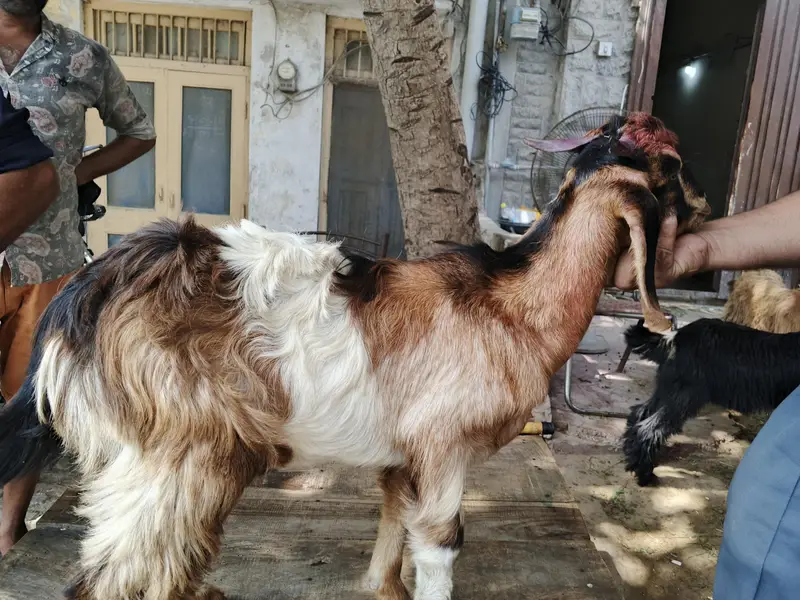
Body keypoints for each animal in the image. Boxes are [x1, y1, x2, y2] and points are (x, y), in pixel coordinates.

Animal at [0, 113, 708, 600]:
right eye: (673, 164)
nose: (704, 204)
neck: (512, 304)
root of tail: (79, 302)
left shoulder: (403, 460)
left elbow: (393, 532)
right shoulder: (443, 446)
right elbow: (442, 542)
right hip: (175, 452)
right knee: (109, 576)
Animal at [622, 319, 800, 487]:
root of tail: (675, 338)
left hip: (667, 390)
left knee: (640, 413)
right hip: (686, 396)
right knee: (649, 429)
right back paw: (645, 475)